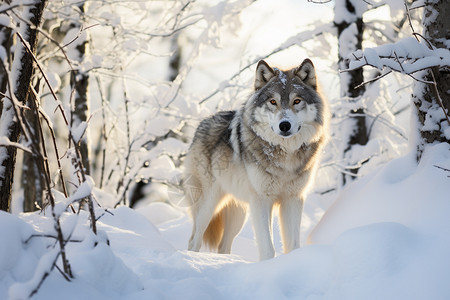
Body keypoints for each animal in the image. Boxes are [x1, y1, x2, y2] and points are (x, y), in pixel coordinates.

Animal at [185, 58, 328, 260]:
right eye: (273, 101)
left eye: (297, 101)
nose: (284, 125)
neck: (285, 154)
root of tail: (203, 122)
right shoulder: (261, 200)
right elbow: (268, 248)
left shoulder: (293, 199)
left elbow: (293, 245)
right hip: (209, 204)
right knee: (194, 240)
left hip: (240, 213)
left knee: (223, 246)